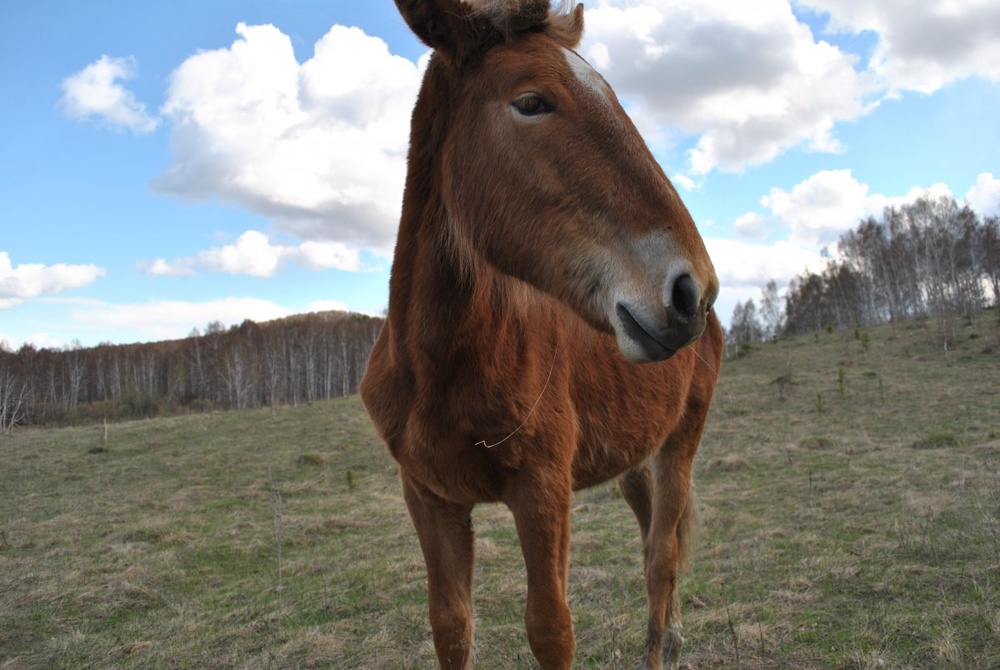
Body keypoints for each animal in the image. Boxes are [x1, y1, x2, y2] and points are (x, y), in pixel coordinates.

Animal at [364, 2, 724, 668]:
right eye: (532, 102)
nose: (691, 290)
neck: (439, 369)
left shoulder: (543, 492)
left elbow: (551, 629)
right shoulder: (429, 498)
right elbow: (451, 625)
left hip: (681, 439)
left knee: (661, 557)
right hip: (635, 457)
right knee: (652, 537)